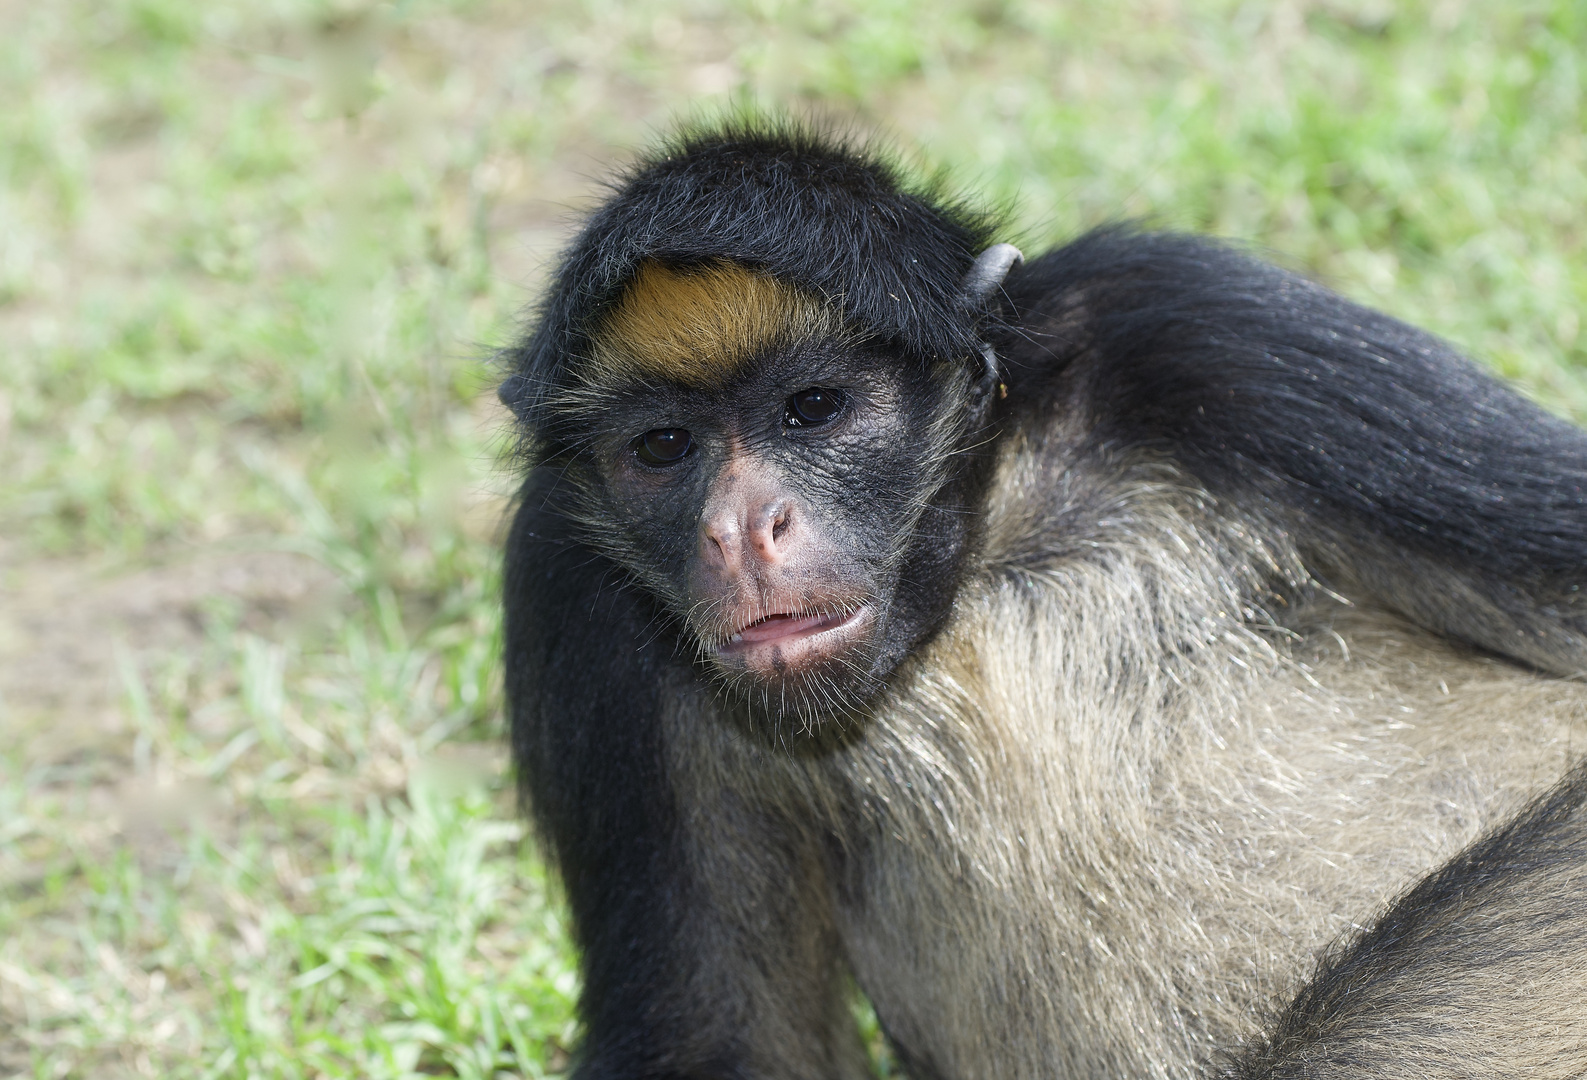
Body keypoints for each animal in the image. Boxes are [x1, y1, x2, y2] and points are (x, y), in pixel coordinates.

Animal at [501, 122, 1587, 1072]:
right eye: (663, 448)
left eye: (812, 409)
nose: (739, 527)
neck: (975, 558)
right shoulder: (574, 584)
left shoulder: (1188, 324)